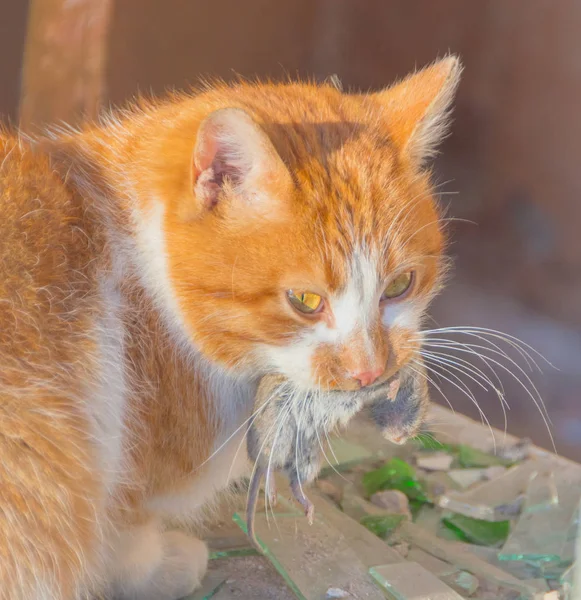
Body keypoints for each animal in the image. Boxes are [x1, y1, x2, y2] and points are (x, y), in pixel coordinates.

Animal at [0, 57, 460, 600]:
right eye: (305, 301)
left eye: (400, 285)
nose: (368, 372)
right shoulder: (106, 463)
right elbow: (122, 534)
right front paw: (160, 566)